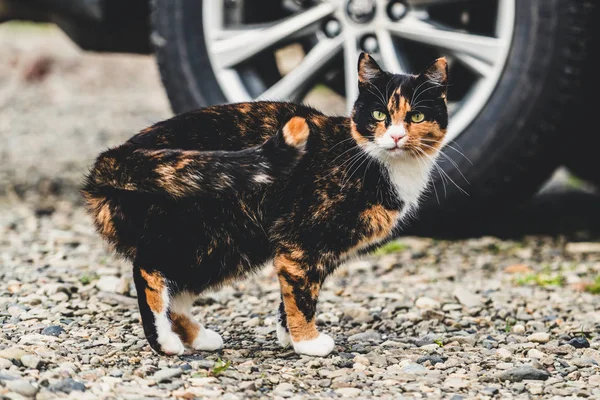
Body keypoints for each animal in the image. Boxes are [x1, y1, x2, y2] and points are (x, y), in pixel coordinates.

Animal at [85, 52, 450, 356]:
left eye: (417, 115)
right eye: (379, 114)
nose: (396, 137)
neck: (373, 160)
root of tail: (117, 156)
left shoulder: (317, 255)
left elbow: (296, 294)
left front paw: (289, 336)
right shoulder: (301, 240)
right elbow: (301, 296)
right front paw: (308, 342)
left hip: (227, 246)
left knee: (177, 290)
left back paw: (199, 337)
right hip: (204, 233)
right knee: (148, 269)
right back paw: (165, 343)